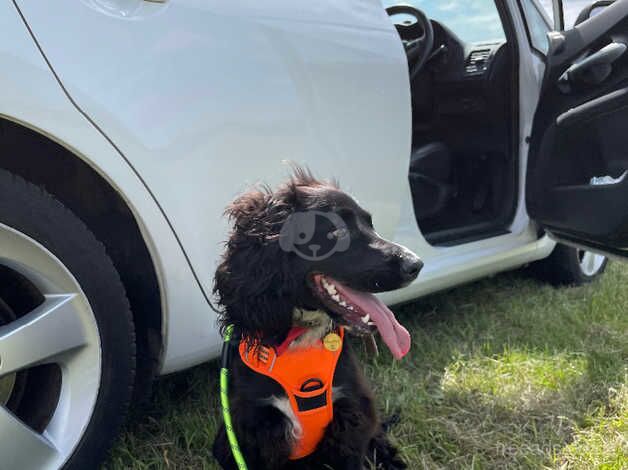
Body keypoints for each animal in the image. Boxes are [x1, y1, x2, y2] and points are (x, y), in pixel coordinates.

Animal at [211, 169, 422, 470]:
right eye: (338, 231)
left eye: (370, 224)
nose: (416, 264)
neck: (300, 337)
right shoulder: (254, 429)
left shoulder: (351, 419)